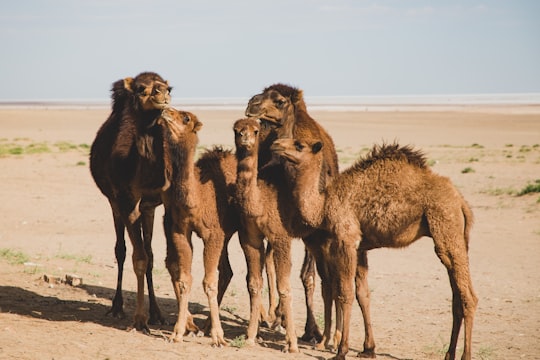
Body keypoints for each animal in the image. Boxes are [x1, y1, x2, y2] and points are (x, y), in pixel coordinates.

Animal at [160, 109, 240, 346]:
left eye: (186, 118)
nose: (166, 111)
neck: (197, 199)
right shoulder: (180, 230)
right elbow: (185, 279)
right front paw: (177, 333)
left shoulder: (213, 234)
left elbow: (209, 282)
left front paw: (219, 337)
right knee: (227, 271)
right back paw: (204, 326)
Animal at [244, 83, 338, 342]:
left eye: (280, 101)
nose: (252, 103)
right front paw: (278, 318)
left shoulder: (312, 230)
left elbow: (308, 276)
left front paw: (311, 330)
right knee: (267, 264)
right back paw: (270, 316)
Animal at [272, 136, 478, 360]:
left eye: (299, 145)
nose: (275, 144)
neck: (324, 204)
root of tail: (461, 201)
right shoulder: (360, 247)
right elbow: (363, 294)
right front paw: (368, 349)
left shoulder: (346, 239)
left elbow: (345, 293)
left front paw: (341, 351)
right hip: (456, 237)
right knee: (456, 297)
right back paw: (449, 354)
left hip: (445, 225)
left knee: (468, 297)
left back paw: (466, 355)